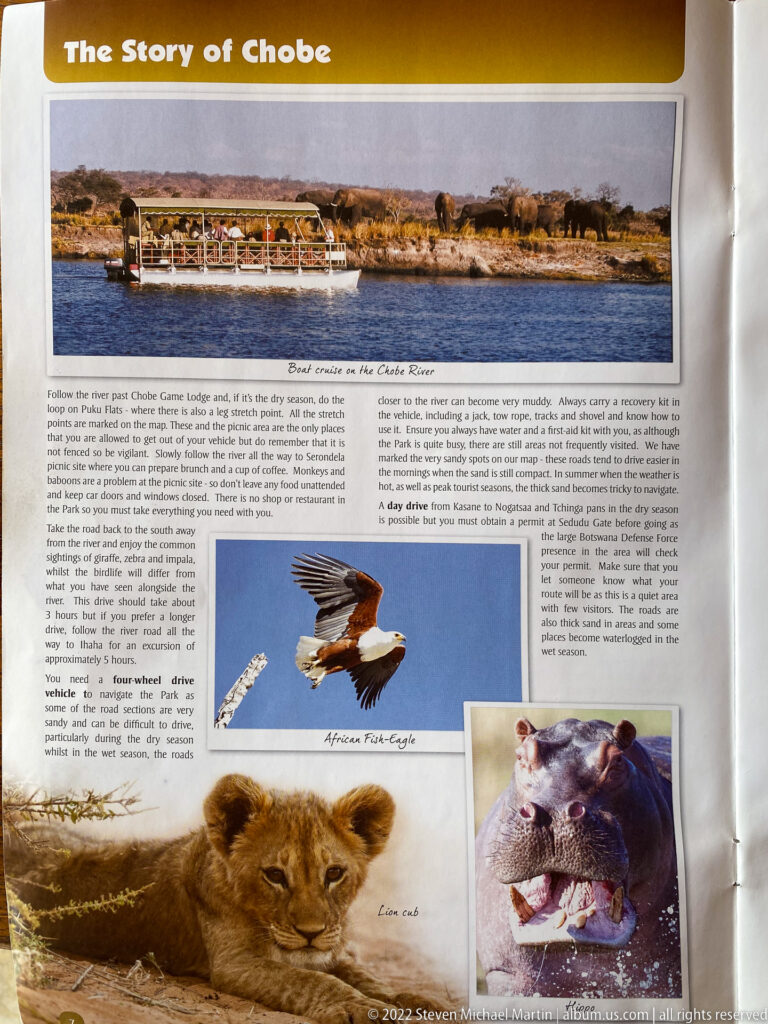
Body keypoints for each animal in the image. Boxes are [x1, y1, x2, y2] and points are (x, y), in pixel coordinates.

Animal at [9, 775, 445, 1023]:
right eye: (275, 875)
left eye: (334, 873)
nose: (311, 933)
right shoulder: (235, 963)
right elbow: (310, 980)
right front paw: (361, 1008)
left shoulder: (331, 952)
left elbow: (369, 977)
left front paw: (419, 1001)